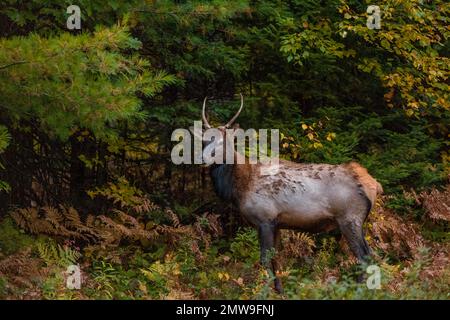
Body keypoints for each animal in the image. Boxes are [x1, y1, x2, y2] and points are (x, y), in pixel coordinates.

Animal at [195, 94, 382, 292]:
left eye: (222, 141)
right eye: (204, 140)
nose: (202, 159)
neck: (240, 188)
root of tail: (374, 185)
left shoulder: (265, 219)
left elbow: (265, 259)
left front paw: (266, 291)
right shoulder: (276, 223)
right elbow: (276, 258)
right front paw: (280, 290)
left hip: (350, 218)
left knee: (364, 255)